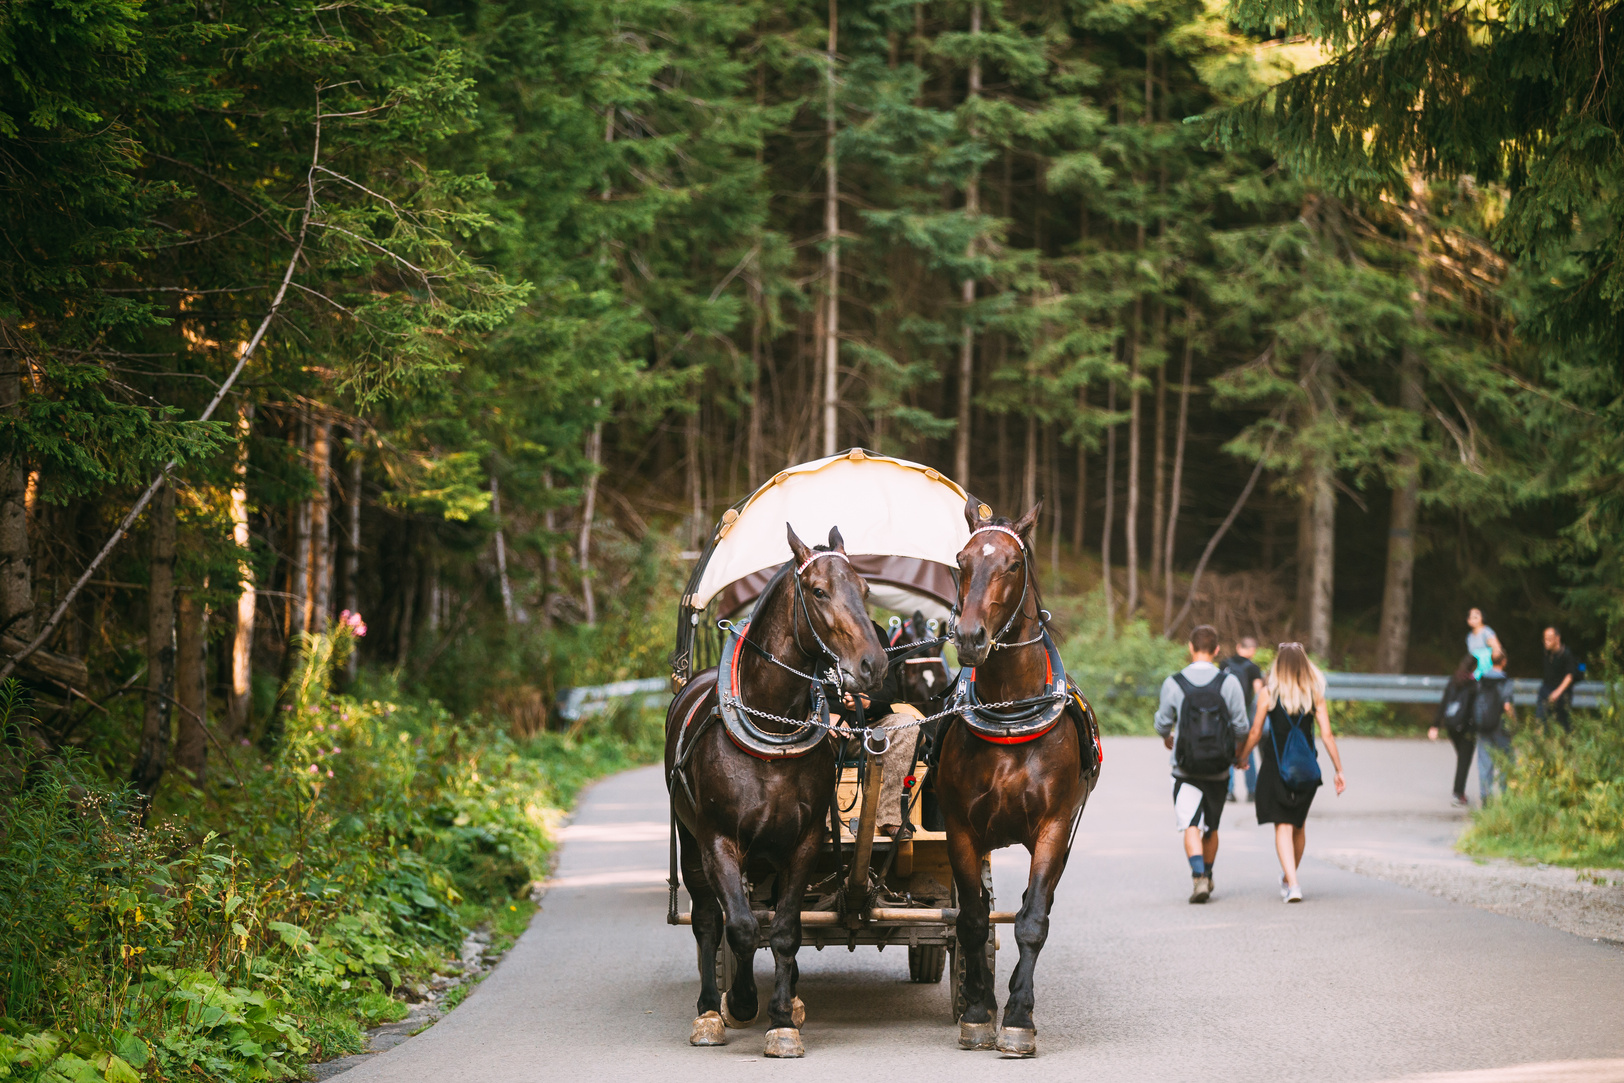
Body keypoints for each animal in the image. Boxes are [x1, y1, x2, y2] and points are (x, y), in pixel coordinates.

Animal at [662, 526, 889, 1058]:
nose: (873, 665)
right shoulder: (719, 842)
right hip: (691, 841)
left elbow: (786, 929)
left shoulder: (803, 843)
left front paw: (783, 1019)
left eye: (865, 589)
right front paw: (742, 1003)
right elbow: (743, 928)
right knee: (709, 920)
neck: (771, 726)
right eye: (819, 592)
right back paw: (710, 1010)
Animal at [941, 500, 1104, 1058]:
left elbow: (1032, 921)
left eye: (1012, 564)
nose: (971, 638)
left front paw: (1018, 1016)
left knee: (1038, 905)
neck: (1012, 712)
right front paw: (977, 1010)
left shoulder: (1054, 828)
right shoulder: (961, 830)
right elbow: (972, 919)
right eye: (962, 559)